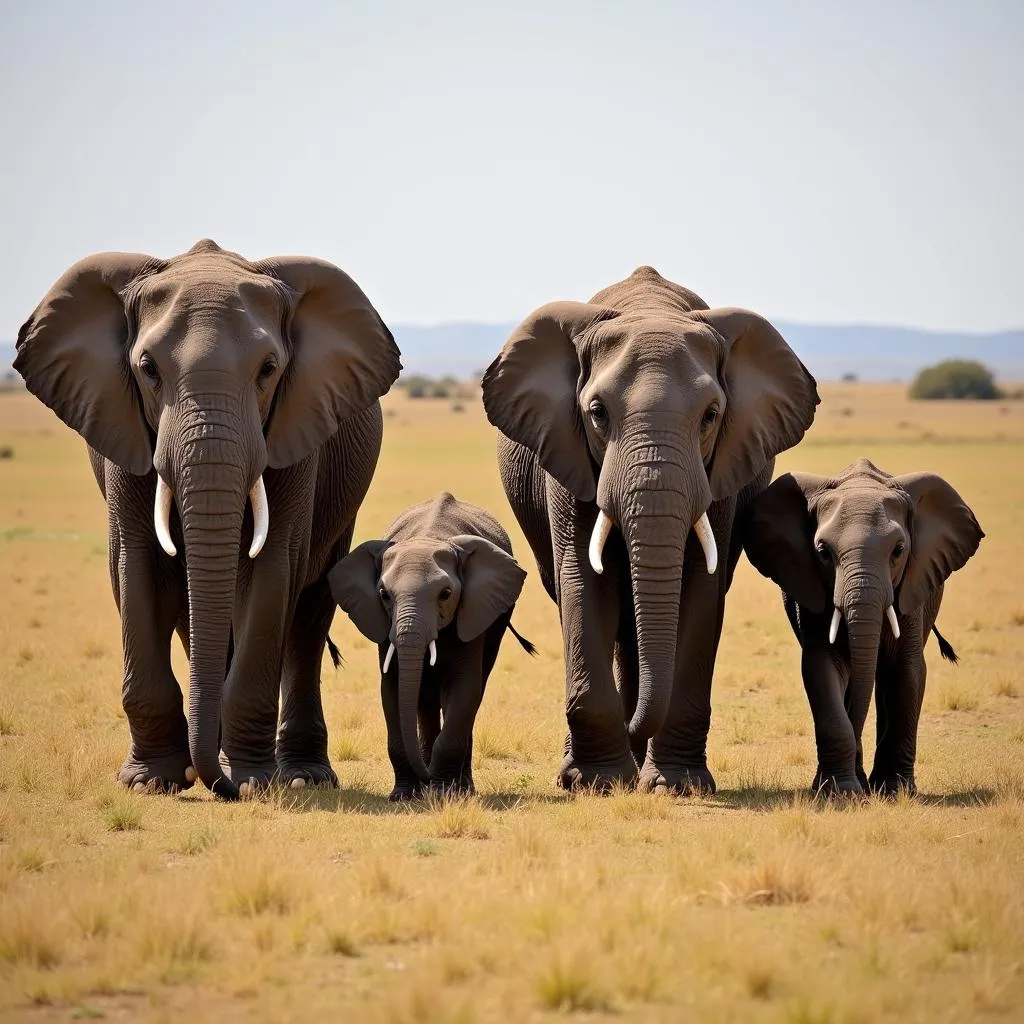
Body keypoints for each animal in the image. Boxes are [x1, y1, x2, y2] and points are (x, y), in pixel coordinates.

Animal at [17, 237, 399, 798]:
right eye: (148, 368)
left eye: (268, 370)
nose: (212, 782)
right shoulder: (124, 430)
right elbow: (137, 566)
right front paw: (150, 782)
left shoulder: (294, 430)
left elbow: (271, 569)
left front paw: (252, 783)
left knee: (307, 615)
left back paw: (301, 776)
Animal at [329, 493, 536, 798]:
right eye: (384, 594)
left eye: (446, 594)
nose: (426, 778)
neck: (428, 537)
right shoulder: (383, 627)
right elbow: (392, 689)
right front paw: (403, 795)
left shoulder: (471, 611)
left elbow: (465, 687)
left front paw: (443, 794)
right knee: (424, 700)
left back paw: (462, 787)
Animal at [477, 266, 815, 790]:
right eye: (597, 413)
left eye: (711, 416)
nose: (634, 723)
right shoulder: (569, 456)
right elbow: (583, 582)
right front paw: (595, 784)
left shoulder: (718, 475)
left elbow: (700, 587)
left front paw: (674, 784)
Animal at [741, 458, 987, 798]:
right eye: (823, 552)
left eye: (898, 550)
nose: (863, 790)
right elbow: (823, 668)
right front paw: (840, 791)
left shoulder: (910, 593)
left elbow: (907, 672)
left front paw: (895, 791)